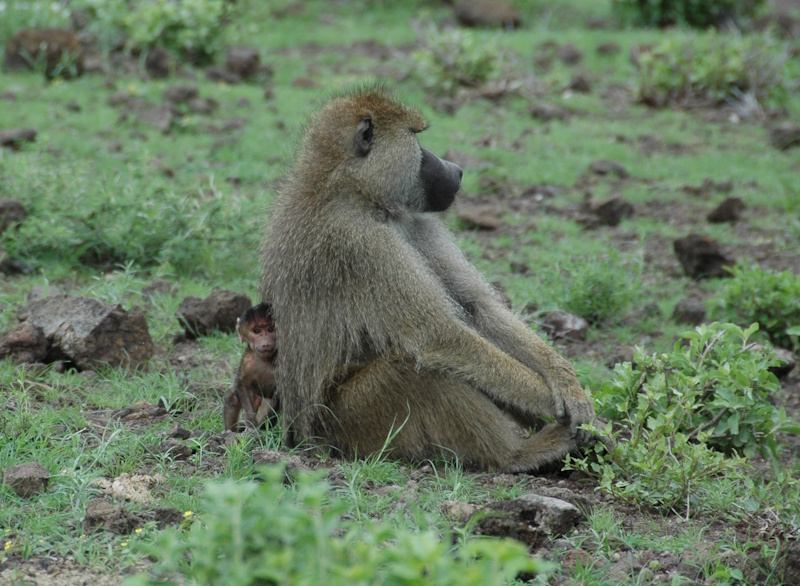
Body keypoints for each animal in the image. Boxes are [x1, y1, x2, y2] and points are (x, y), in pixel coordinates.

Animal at [222, 303, 279, 432]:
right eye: (256, 331)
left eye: (270, 329)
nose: (266, 343)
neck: (264, 359)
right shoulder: (247, 361)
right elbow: (242, 384)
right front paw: (251, 422)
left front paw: (261, 427)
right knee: (232, 396)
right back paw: (230, 431)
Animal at [260, 84, 595, 472]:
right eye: (416, 138)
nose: (457, 170)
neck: (353, 191)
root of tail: (299, 436)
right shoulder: (361, 242)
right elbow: (439, 335)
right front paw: (564, 407)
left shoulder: (415, 222)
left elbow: (478, 306)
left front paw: (568, 385)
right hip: (351, 420)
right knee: (414, 366)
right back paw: (518, 454)